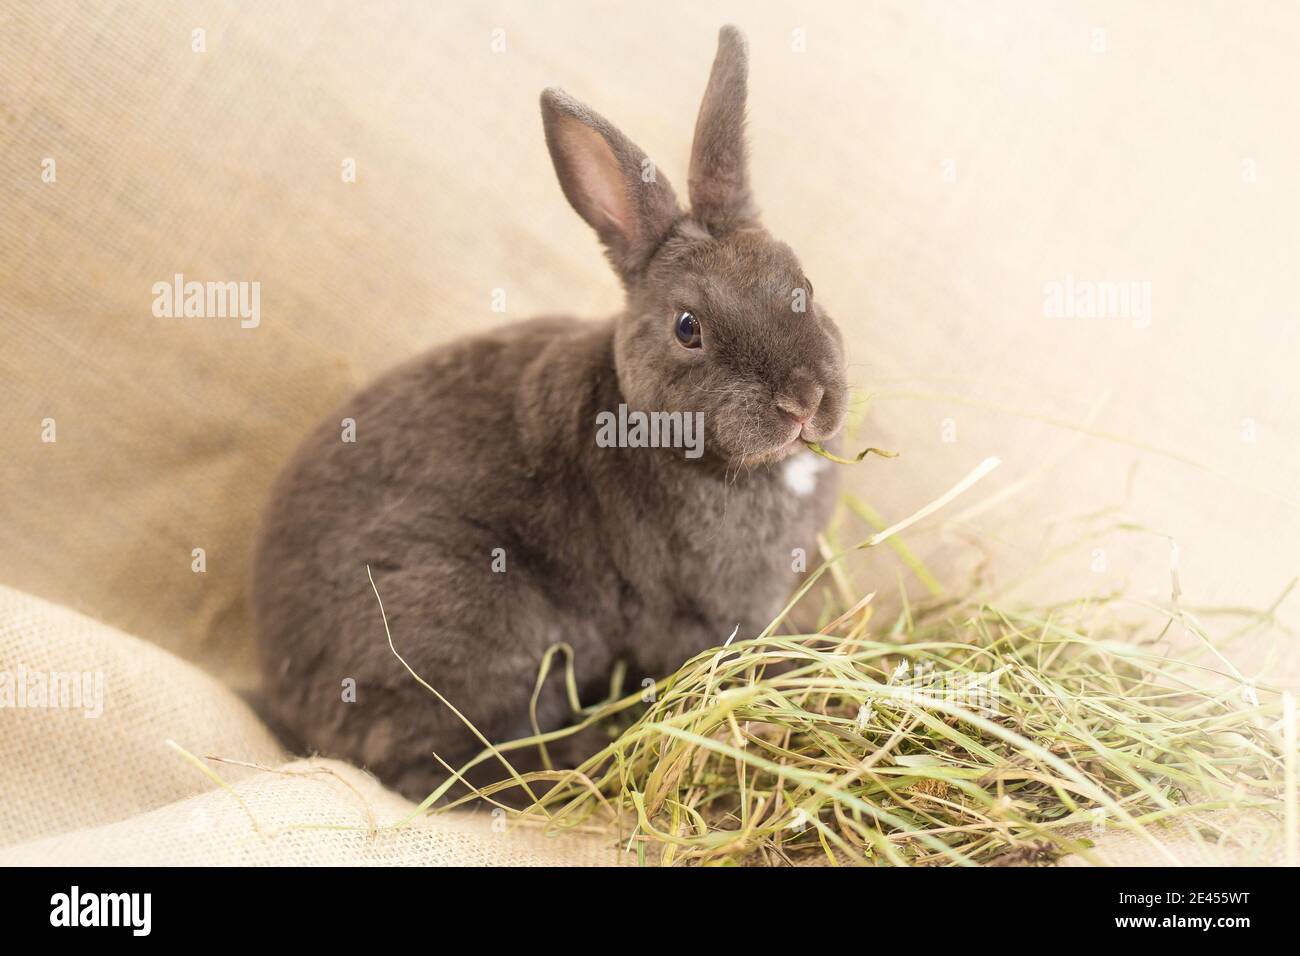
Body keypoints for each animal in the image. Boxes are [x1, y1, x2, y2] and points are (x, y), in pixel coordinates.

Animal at [248, 26, 847, 806]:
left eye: (805, 283)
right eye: (688, 328)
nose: (802, 400)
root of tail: (281, 681)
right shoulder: (708, 611)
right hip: (469, 617)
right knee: (433, 769)